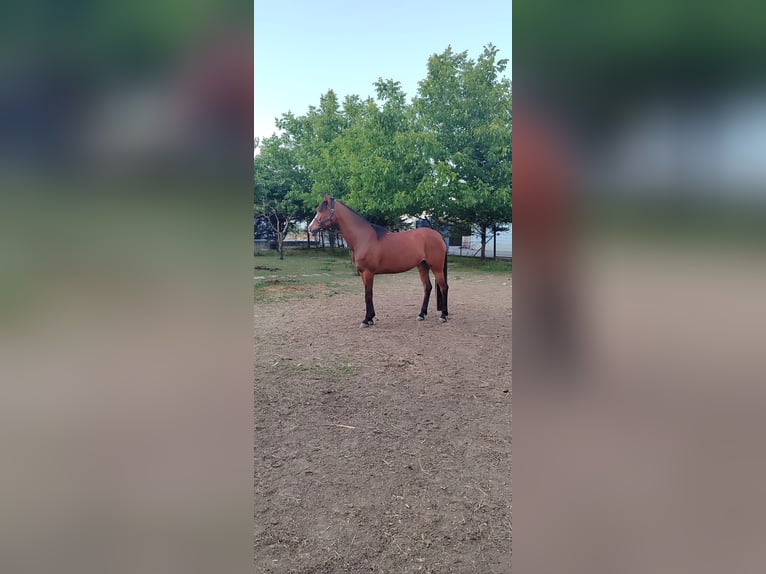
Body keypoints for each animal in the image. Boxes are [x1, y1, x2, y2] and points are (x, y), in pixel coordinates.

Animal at [308, 194, 449, 327]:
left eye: (322, 210)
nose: (310, 228)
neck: (363, 237)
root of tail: (438, 235)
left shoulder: (368, 272)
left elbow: (368, 295)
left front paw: (366, 320)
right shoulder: (362, 273)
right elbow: (368, 294)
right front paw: (370, 318)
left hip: (436, 267)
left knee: (444, 287)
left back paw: (443, 315)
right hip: (422, 266)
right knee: (428, 287)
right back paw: (421, 314)